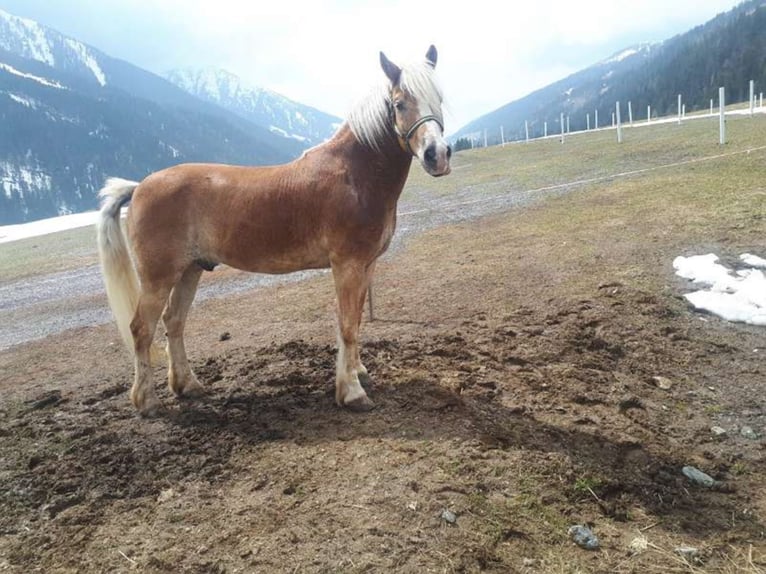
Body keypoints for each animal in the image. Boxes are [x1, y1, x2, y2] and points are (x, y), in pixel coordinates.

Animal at [97, 45, 451, 417]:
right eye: (399, 103)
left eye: (439, 97)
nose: (436, 155)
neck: (355, 174)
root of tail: (139, 187)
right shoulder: (348, 265)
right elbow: (346, 324)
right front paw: (351, 392)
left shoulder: (367, 265)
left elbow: (355, 320)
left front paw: (359, 373)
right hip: (158, 277)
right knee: (142, 329)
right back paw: (147, 401)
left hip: (190, 270)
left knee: (174, 322)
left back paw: (188, 385)